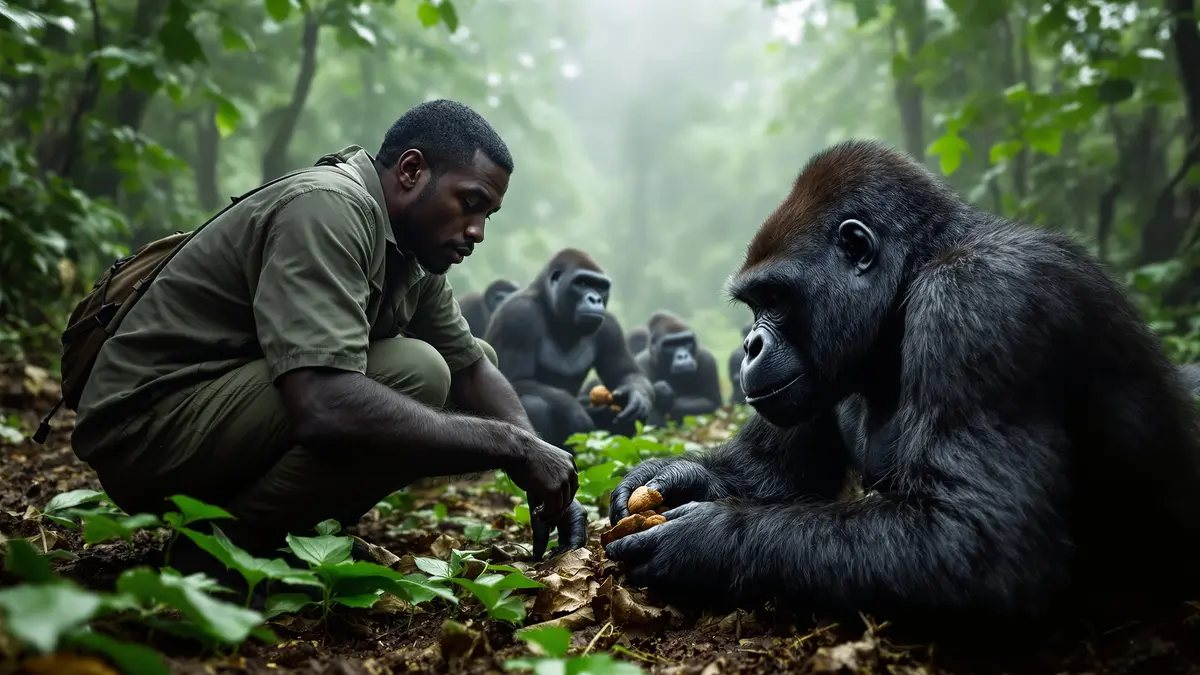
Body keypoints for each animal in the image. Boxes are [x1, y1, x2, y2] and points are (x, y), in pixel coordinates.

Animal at [604, 140, 1200, 640]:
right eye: (754, 305)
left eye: (774, 298)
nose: (749, 344)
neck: (911, 281)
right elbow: (775, 474)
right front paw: (667, 478)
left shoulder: (979, 298)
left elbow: (976, 540)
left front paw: (703, 540)